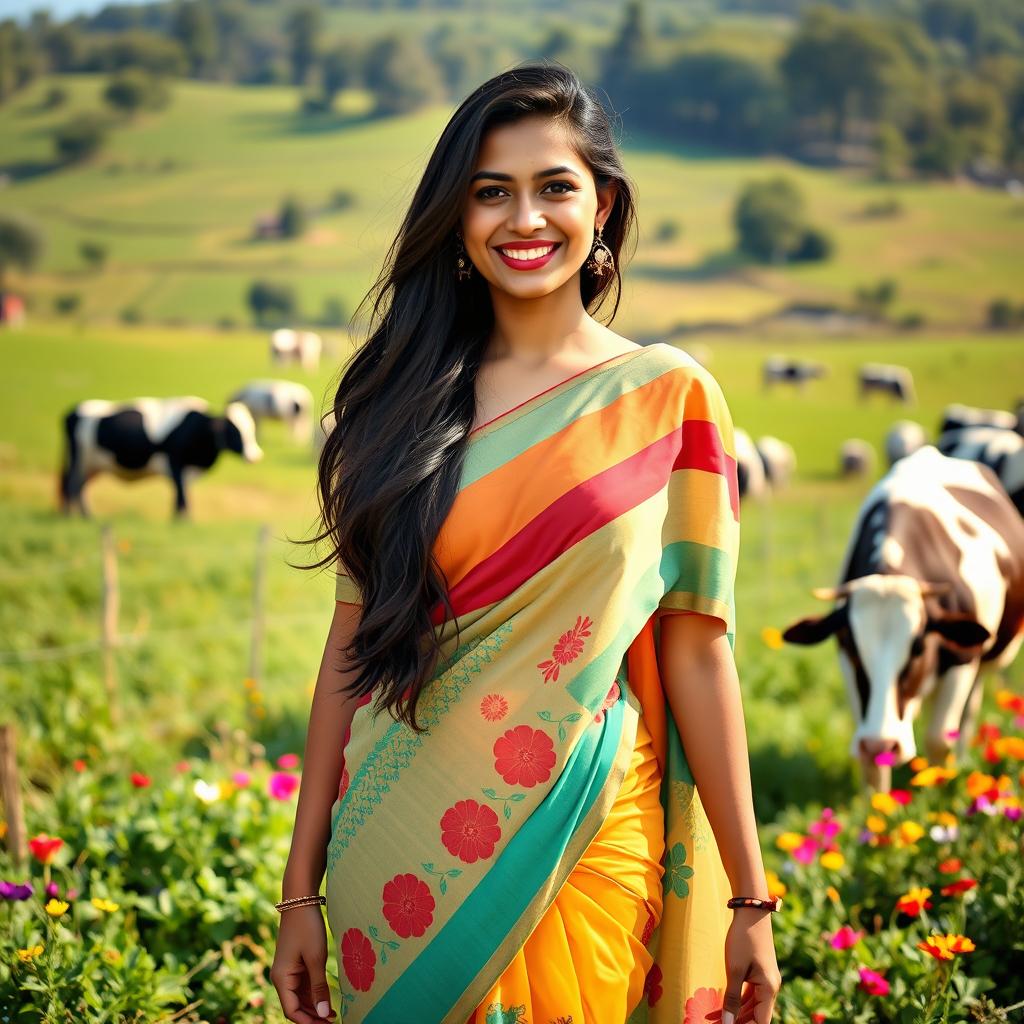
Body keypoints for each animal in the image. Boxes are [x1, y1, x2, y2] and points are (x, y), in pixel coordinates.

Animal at [58, 395, 264, 516]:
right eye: (234, 431)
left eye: (251, 429)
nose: (255, 456)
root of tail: (73, 411)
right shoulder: (175, 461)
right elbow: (181, 495)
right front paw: (182, 521)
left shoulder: (186, 470)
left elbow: (183, 494)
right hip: (78, 460)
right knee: (72, 485)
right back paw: (77, 517)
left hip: (93, 464)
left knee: (80, 487)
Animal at [778, 448, 1019, 790]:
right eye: (853, 648)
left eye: (918, 648)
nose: (882, 742)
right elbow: (873, 767)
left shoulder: (962, 660)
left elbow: (938, 740)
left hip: (984, 664)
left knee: (966, 717)